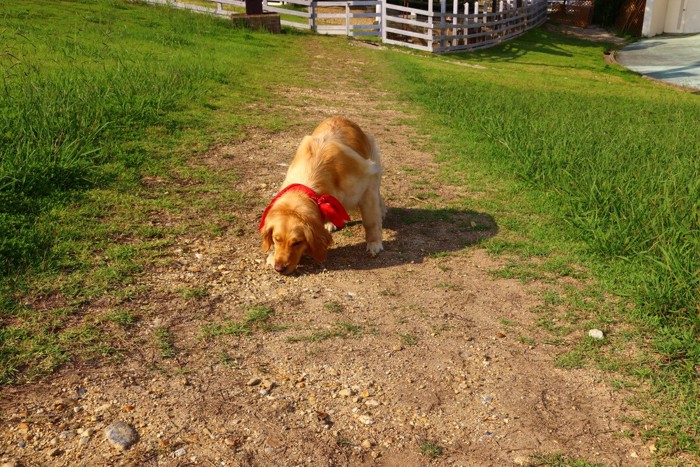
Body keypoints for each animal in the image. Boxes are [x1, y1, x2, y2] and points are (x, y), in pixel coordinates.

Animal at [260, 117, 386, 276]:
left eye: (297, 242)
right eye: (276, 239)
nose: (279, 268)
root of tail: (341, 117)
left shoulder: (367, 184)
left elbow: (371, 221)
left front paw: (374, 243)